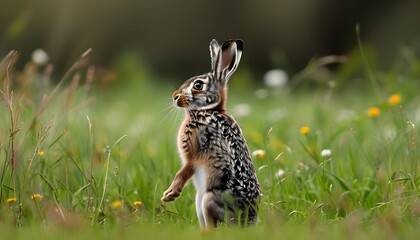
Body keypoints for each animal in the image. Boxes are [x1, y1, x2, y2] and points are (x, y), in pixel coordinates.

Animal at [162, 38, 260, 228]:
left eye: (198, 85)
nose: (175, 96)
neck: (207, 110)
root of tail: (248, 220)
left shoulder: (195, 153)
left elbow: (183, 172)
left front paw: (170, 194)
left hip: (208, 200)